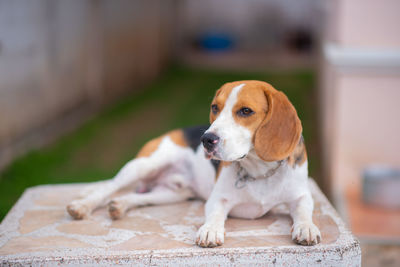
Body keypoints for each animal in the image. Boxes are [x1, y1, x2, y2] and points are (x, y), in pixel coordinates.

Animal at [67, 80, 320, 248]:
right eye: (215, 108)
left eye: (246, 111)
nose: (206, 139)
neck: (259, 170)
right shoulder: (218, 198)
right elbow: (215, 213)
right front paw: (210, 230)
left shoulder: (301, 195)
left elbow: (304, 210)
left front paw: (306, 227)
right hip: (144, 165)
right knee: (107, 188)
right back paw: (82, 205)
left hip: (173, 193)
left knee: (136, 197)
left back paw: (120, 205)